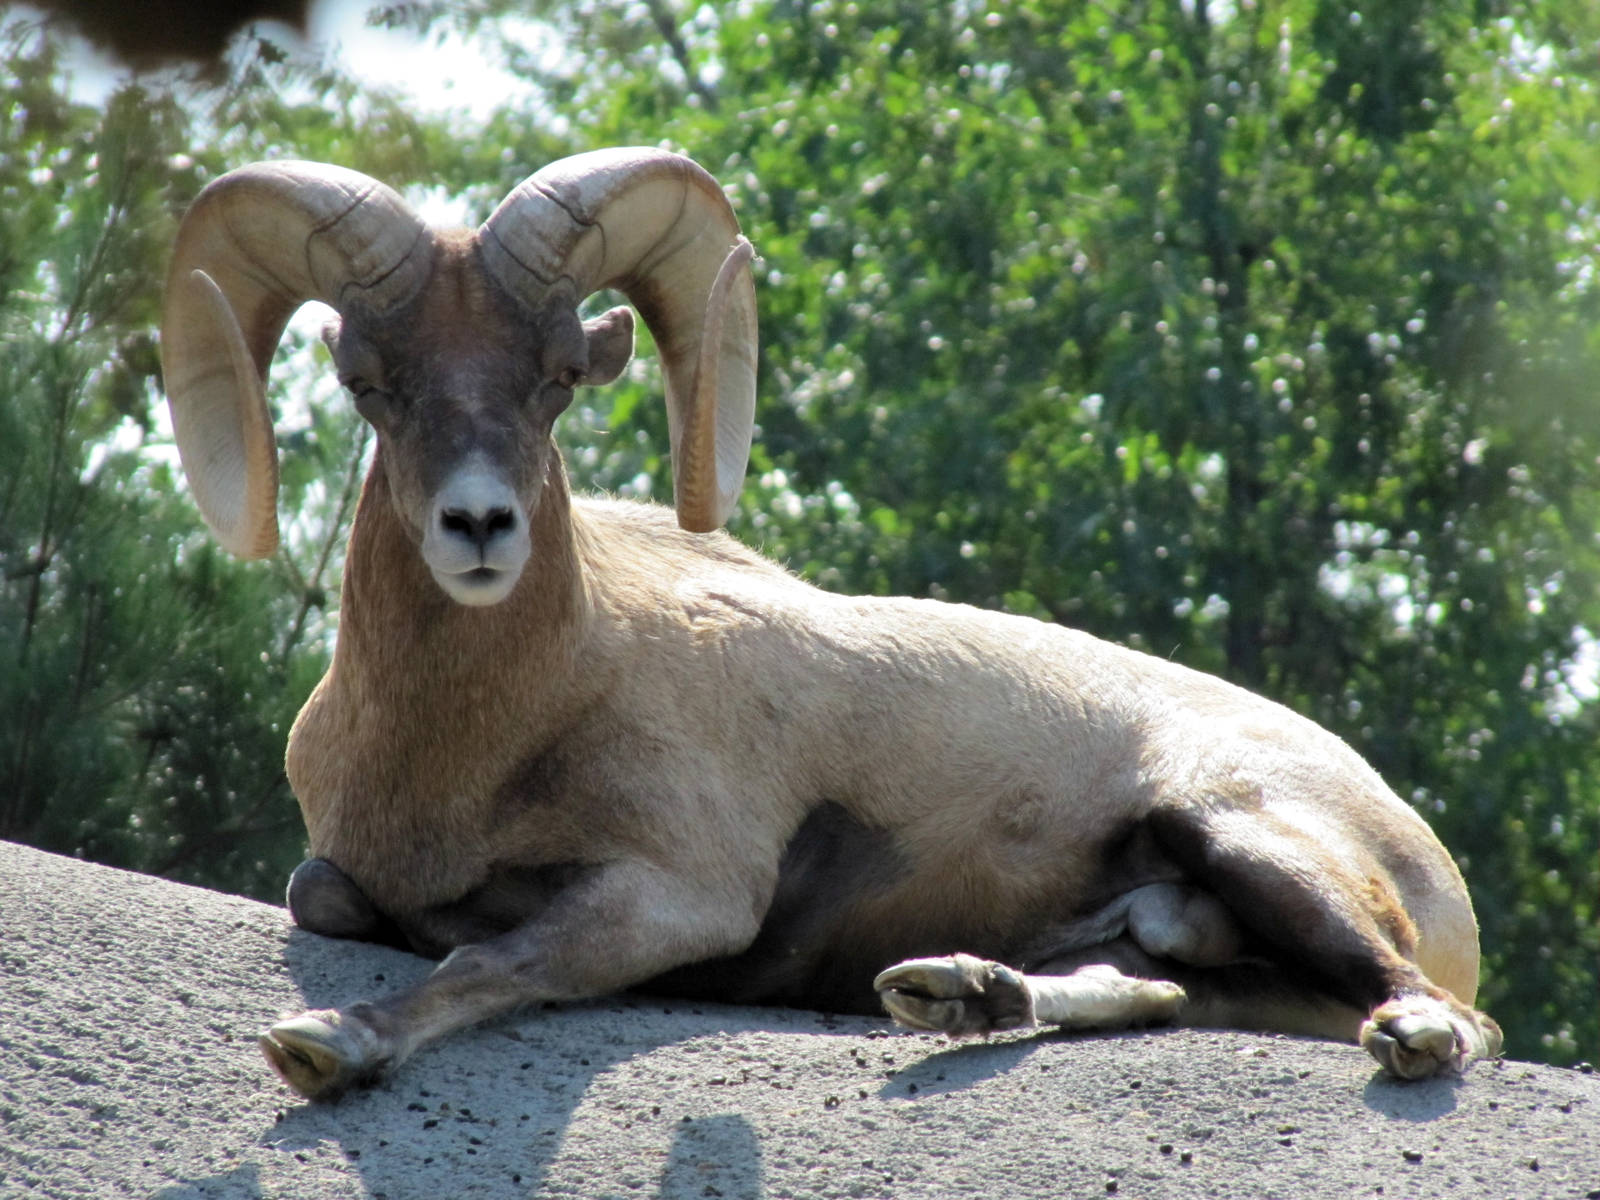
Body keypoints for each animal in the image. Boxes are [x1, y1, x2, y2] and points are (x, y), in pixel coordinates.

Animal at [159, 148, 1502, 1101]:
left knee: (1449, 1021)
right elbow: (326, 896)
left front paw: (328, 1041)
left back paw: (1400, 1031)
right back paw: (958, 995)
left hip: (1241, 832)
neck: (488, 734)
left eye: (556, 378)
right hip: (1186, 931)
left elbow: (494, 960)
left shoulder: (675, 893)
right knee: (1167, 993)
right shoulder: (347, 870)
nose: (480, 525)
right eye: (368, 384)